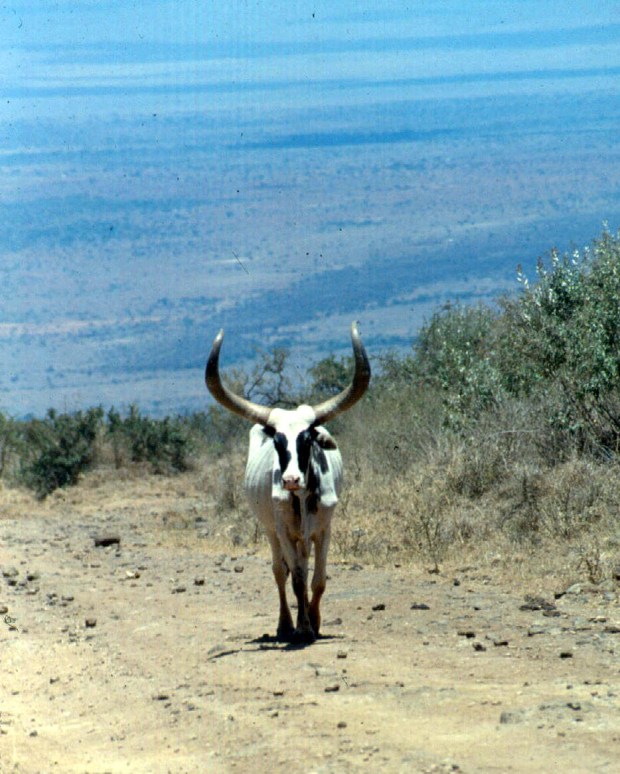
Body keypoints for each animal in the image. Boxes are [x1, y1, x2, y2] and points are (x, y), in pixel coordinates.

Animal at [205, 322, 370, 643]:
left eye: (307, 439)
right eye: (278, 442)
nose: (291, 479)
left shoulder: (324, 529)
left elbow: (318, 580)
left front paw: (314, 623)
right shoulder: (282, 530)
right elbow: (295, 578)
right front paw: (302, 628)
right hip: (273, 531)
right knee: (281, 573)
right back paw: (285, 625)